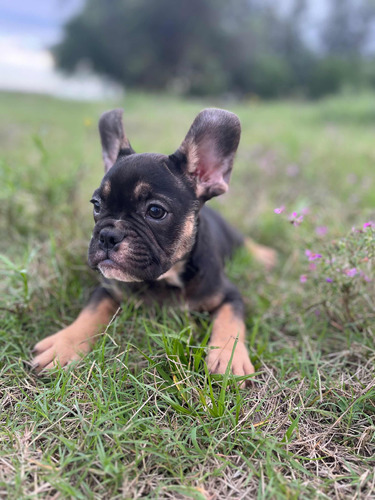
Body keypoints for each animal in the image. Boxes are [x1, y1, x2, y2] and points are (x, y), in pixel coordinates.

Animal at [33, 108, 276, 382]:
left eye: (156, 211)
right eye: (96, 205)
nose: (107, 235)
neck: (165, 279)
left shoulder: (229, 294)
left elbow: (231, 321)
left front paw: (229, 358)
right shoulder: (108, 287)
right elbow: (91, 311)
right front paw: (63, 344)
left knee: (245, 243)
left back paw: (265, 256)